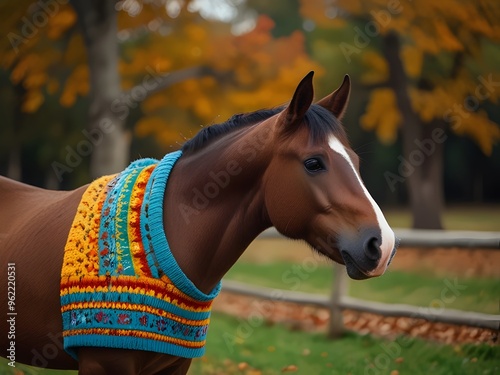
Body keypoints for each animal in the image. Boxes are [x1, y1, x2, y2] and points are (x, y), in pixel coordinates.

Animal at [0, 72, 398, 374]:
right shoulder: (104, 365)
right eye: (314, 163)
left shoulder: (172, 366)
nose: (383, 244)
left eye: (355, 162)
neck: (170, 230)